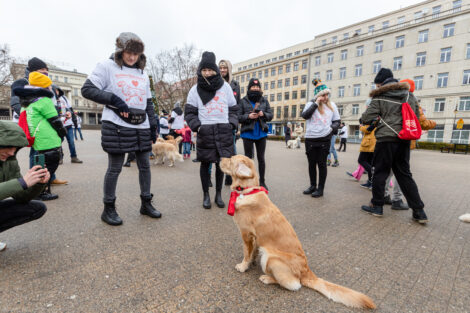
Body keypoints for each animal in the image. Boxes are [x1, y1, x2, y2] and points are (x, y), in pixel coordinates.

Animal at [218, 155, 376, 308]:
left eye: (230, 159)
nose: (219, 158)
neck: (247, 191)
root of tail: (306, 271)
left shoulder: (246, 234)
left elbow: (246, 253)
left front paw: (243, 266)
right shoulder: (256, 239)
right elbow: (252, 253)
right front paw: (250, 263)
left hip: (270, 257)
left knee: (294, 284)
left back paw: (267, 278)